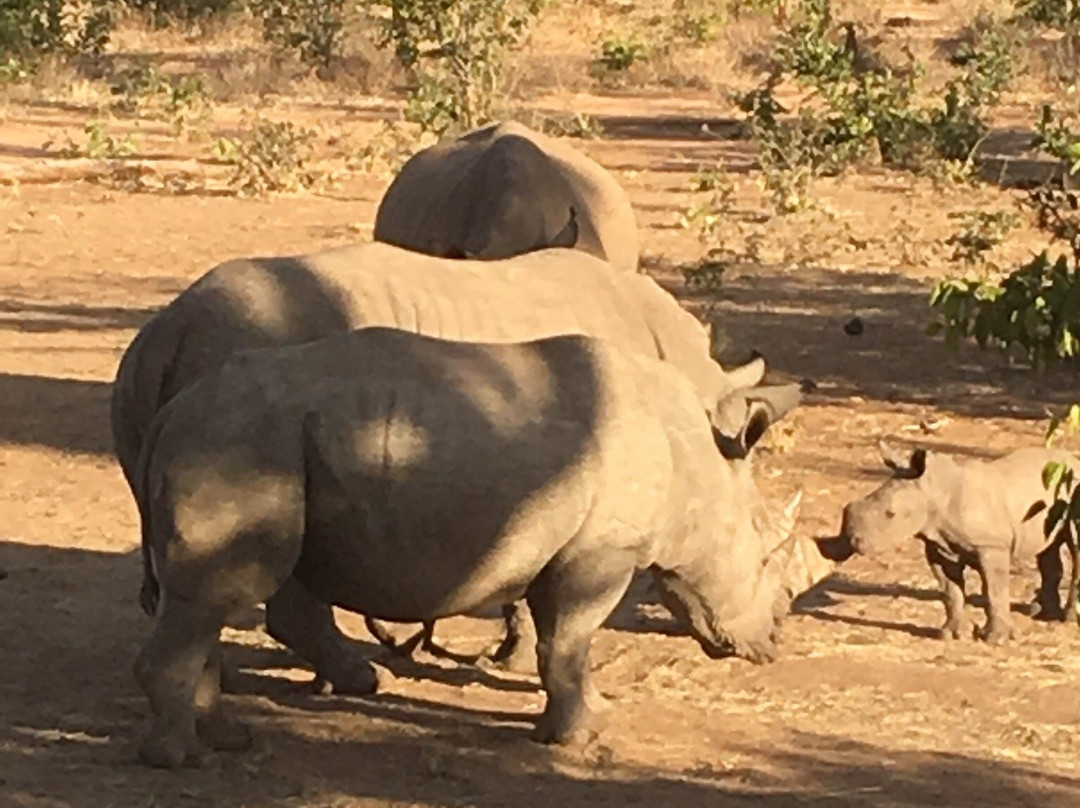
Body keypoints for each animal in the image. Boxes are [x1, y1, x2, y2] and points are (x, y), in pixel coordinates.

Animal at [111, 242, 772, 691]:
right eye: (760, 549)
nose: (767, 642)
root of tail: (169, 330)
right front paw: (513, 658)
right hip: (248, 371)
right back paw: (353, 679)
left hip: (158, 380)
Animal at [130, 328, 834, 768]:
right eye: (763, 554)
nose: (773, 643)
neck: (703, 467)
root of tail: (168, 413)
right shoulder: (599, 555)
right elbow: (570, 640)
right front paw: (582, 737)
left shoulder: (566, 550)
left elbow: (559, 643)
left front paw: (567, 722)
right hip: (238, 441)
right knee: (214, 598)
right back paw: (184, 759)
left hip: (247, 440)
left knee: (219, 600)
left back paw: (232, 738)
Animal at [833, 442, 1080, 643]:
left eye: (890, 514)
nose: (853, 542)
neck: (933, 494)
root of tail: (1073, 458)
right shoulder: (939, 548)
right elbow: (950, 591)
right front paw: (950, 634)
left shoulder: (991, 546)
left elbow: (994, 590)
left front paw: (996, 639)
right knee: (1049, 549)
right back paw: (1043, 613)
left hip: (1073, 488)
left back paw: (1069, 618)